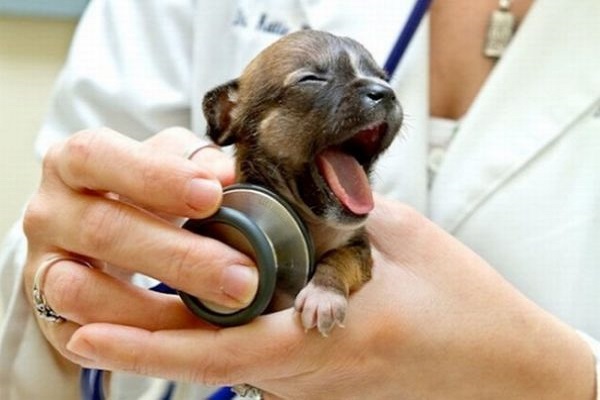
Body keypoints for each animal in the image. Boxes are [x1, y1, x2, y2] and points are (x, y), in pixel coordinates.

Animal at [203, 29, 404, 334]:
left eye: (384, 78)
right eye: (311, 79)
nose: (386, 92)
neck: (313, 224)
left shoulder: (358, 246)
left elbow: (338, 257)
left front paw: (323, 295)